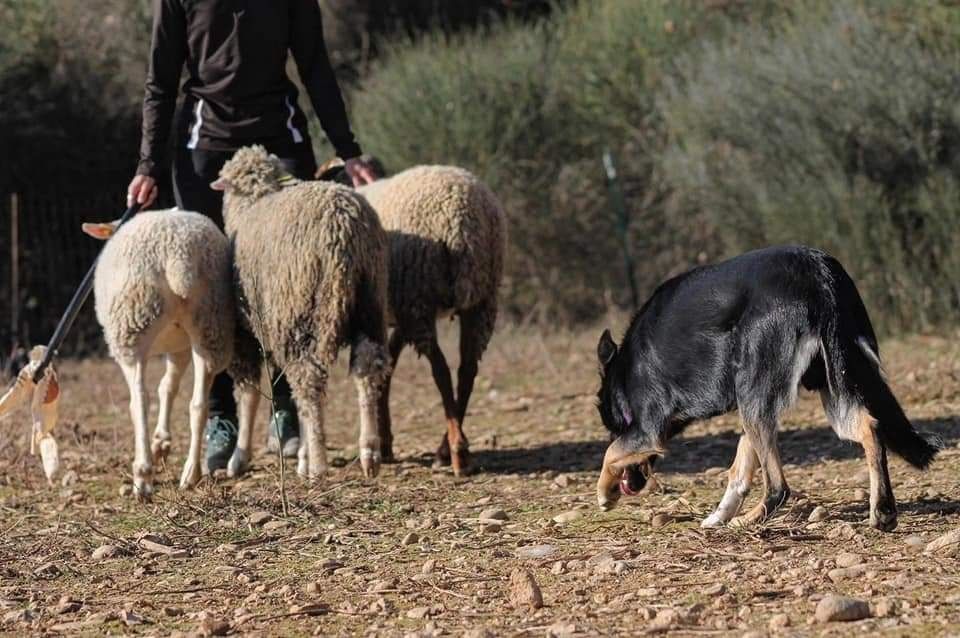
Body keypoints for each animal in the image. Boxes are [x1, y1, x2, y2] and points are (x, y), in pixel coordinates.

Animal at [81, 210, 233, 500]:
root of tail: (179, 256)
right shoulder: (179, 348)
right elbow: (168, 388)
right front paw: (162, 442)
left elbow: (155, 392)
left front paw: (157, 447)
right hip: (210, 322)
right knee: (198, 404)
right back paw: (191, 474)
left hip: (132, 323)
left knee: (139, 400)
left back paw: (142, 477)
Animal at [211, 142, 390, 478]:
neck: (252, 203)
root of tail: (345, 226)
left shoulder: (246, 331)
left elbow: (249, 394)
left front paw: (239, 457)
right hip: (369, 303)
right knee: (366, 369)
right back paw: (369, 452)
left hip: (302, 311)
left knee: (308, 382)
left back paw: (318, 465)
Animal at [358, 168, 510, 478]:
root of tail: (463, 221)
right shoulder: (399, 321)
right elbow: (387, 372)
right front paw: (386, 443)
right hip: (481, 300)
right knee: (467, 371)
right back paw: (448, 448)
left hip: (418, 295)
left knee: (440, 370)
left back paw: (456, 452)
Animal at [596, 248, 940, 532]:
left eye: (611, 425)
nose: (631, 486)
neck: (624, 370)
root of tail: (818, 272)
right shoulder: (758, 402)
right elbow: (739, 468)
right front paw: (718, 516)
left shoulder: (649, 429)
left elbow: (611, 452)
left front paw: (603, 493)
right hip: (826, 385)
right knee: (871, 428)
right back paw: (882, 512)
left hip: (759, 392)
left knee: (779, 486)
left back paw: (749, 520)